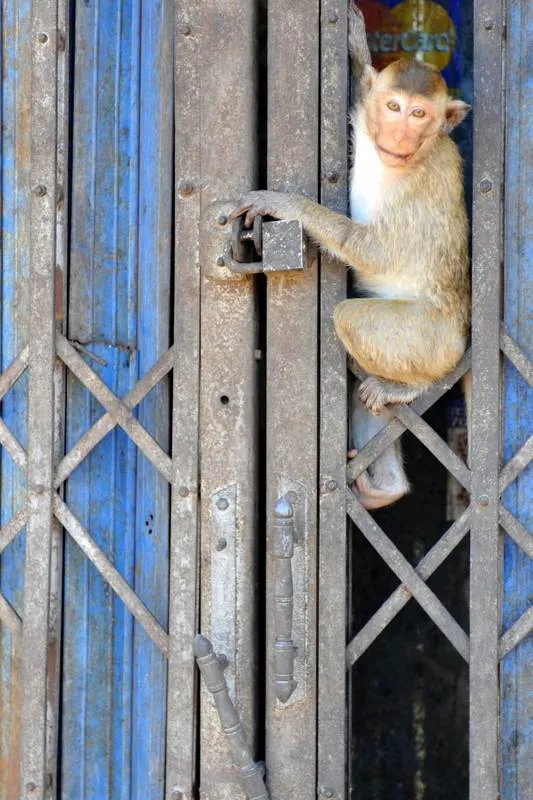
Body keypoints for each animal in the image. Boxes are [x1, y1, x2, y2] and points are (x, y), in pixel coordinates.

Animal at [230, 5, 471, 509]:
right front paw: (358, 47)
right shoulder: (366, 118)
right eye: (394, 107)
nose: (399, 134)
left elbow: (376, 251)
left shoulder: (427, 179)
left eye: (419, 114)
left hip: (433, 341)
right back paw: (387, 487)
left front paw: (288, 206)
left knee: (350, 318)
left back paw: (410, 387)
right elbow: (362, 87)